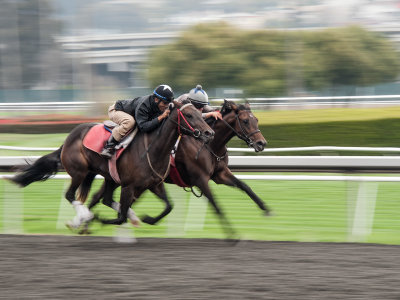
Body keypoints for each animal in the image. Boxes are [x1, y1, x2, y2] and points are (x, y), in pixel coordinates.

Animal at [8, 101, 212, 230]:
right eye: (189, 115)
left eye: (199, 113)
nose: (209, 133)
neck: (153, 149)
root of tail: (67, 140)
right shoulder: (129, 186)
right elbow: (120, 218)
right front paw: (98, 219)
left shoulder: (154, 184)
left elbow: (168, 206)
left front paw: (147, 218)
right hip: (79, 172)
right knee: (70, 195)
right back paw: (85, 217)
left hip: (106, 176)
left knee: (104, 199)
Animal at [87, 99, 268, 238]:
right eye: (245, 121)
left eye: (257, 120)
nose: (261, 143)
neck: (209, 145)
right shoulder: (200, 179)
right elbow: (216, 204)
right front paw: (232, 234)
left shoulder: (220, 174)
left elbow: (244, 185)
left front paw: (265, 208)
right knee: (98, 197)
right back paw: (87, 223)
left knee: (112, 199)